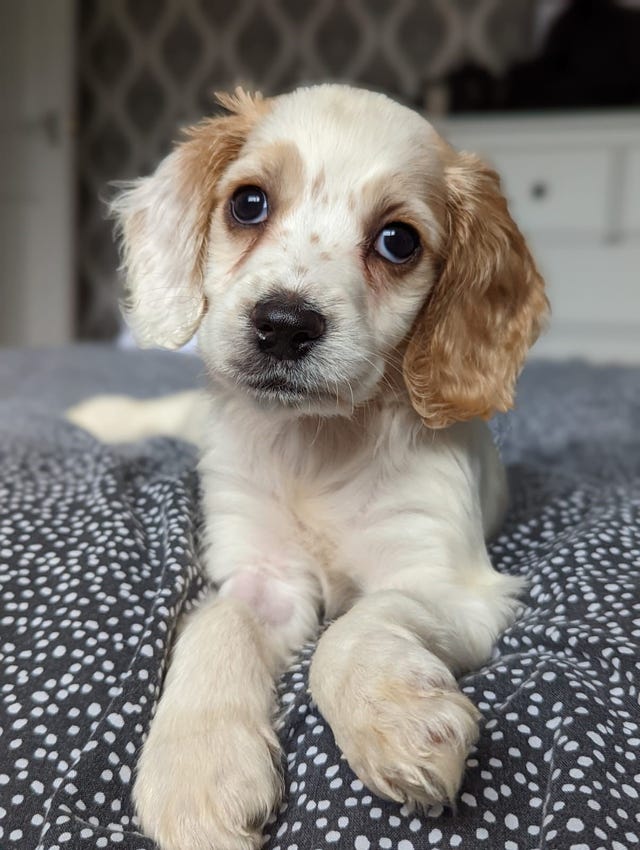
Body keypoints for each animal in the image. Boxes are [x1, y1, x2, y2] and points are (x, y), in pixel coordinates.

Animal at [70, 84, 552, 848]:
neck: (316, 449)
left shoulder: (450, 585)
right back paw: (100, 418)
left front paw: (396, 716)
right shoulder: (262, 576)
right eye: (248, 203)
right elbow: (216, 624)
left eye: (397, 241)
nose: (284, 325)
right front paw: (197, 769)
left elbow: (351, 629)